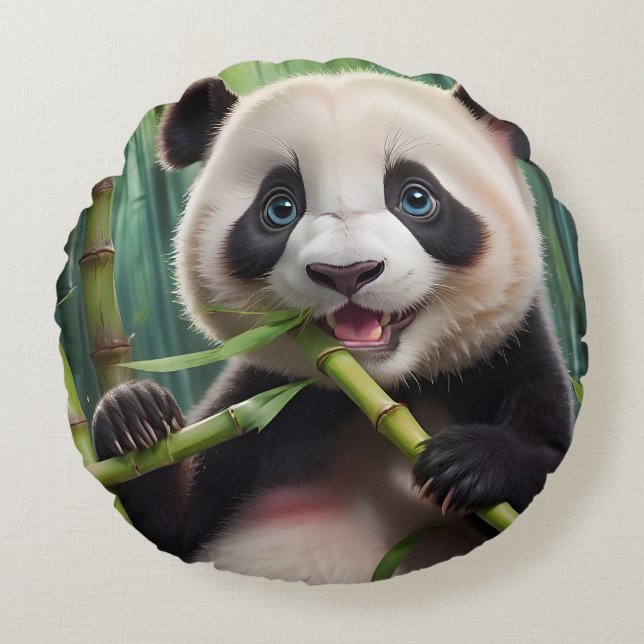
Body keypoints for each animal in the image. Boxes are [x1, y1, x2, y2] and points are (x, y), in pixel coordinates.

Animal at [92, 71, 574, 584]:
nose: (347, 272)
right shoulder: (264, 400)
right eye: (279, 208)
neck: (379, 392)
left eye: (417, 198)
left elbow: (545, 457)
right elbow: (170, 522)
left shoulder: (506, 356)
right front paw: (135, 415)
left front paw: (463, 464)